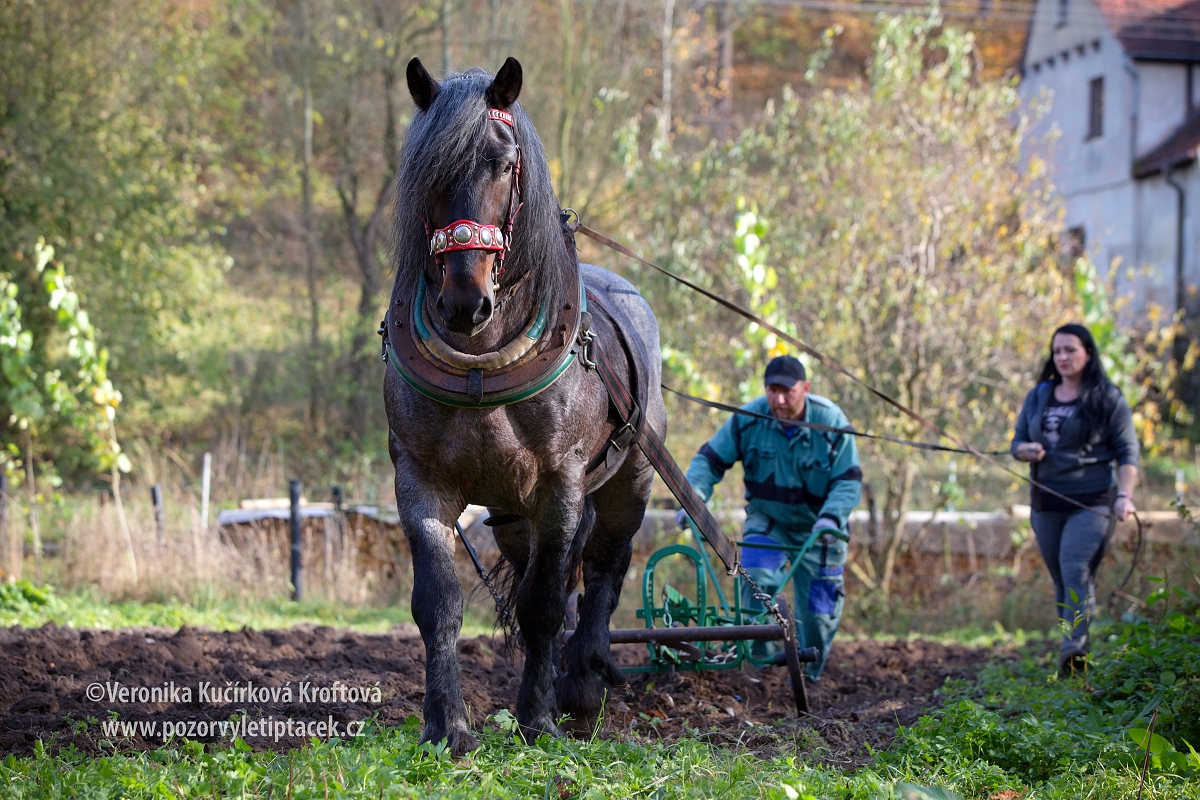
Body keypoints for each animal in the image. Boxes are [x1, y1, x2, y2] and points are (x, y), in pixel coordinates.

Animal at [384, 57, 667, 758]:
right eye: (425, 170)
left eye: (504, 163)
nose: (465, 301)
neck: (481, 362)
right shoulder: (418, 480)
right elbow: (438, 603)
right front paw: (447, 727)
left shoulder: (561, 484)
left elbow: (544, 604)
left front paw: (539, 720)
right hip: (511, 513)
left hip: (628, 481)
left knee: (604, 568)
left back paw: (581, 685)